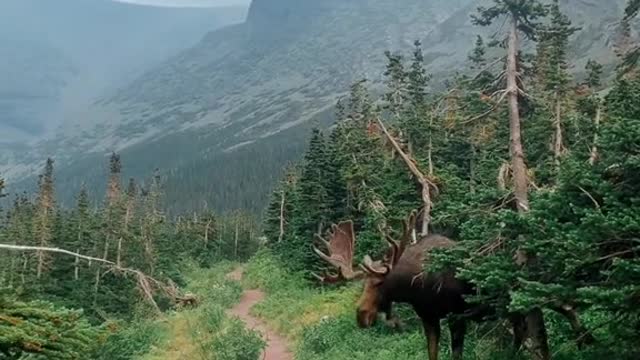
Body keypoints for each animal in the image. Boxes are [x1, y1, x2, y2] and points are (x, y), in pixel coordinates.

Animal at [312, 211, 592, 360]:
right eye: (363, 285)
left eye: (380, 283)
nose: (361, 315)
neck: (418, 287)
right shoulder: (429, 318)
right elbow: (433, 353)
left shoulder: (458, 315)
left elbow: (456, 353)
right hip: (511, 305)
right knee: (523, 330)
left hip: (529, 291)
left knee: (565, 306)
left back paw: (585, 341)